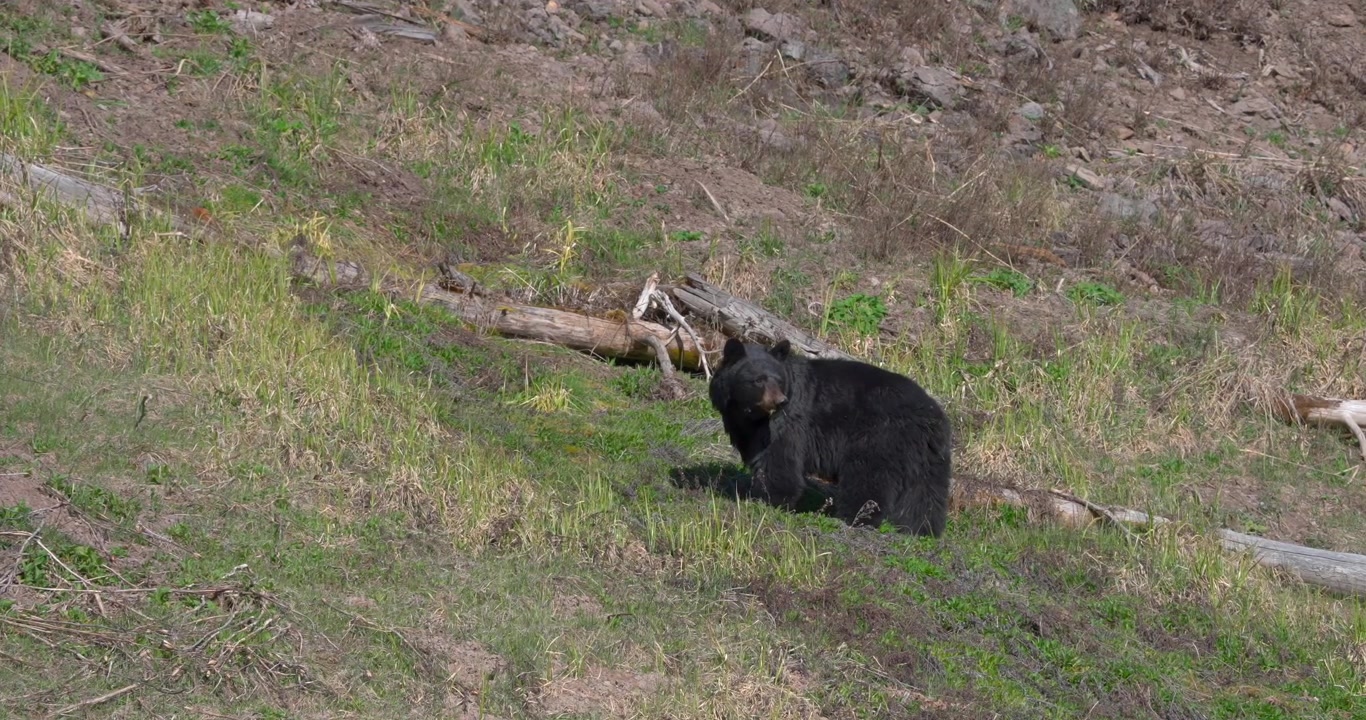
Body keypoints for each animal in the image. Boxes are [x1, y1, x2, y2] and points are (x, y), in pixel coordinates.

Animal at [707, 337, 952, 537]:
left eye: (778, 379)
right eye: (758, 380)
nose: (780, 401)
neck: (749, 414)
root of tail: (930, 414)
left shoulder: (788, 423)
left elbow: (778, 459)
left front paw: (769, 499)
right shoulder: (744, 427)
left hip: (879, 439)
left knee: (868, 479)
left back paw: (855, 517)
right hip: (929, 456)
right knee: (924, 493)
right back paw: (920, 528)